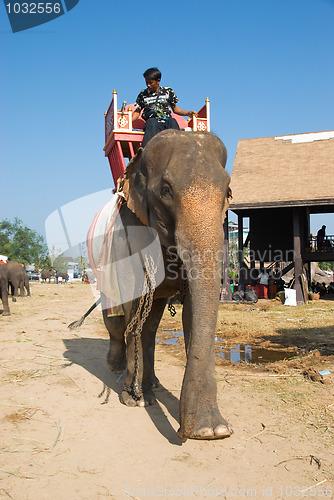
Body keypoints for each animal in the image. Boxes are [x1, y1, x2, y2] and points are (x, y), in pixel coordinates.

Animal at [96, 130, 232, 442]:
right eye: (167, 191)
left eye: (227, 192)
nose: (182, 433)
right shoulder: (127, 233)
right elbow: (133, 307)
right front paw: (134, 400)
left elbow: (194, 313)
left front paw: (212, 430)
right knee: (118, 320)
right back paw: (120, 371)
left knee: (151, 325)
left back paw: (152, 385)